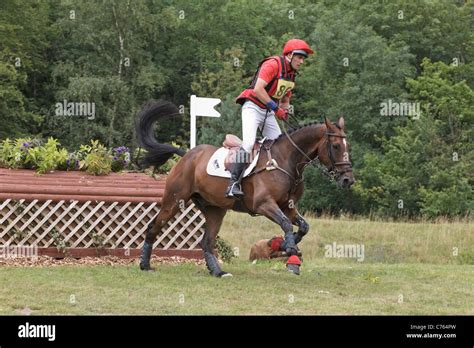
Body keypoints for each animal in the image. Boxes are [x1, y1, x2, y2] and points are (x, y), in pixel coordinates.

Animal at [135, 100, 354, 278]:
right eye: (335, 146)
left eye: (347, 146)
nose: (348, 180)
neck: (287, 160)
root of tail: (187, 155)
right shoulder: (264, 205)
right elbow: (286, 224)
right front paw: (290, 250)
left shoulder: (288, 207)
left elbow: (303, 227)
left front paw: (286, 245)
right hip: (174, 200)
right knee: (153, 227)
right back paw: (145, 265)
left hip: (215, 209)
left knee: (207, 241)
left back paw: (218, 272)